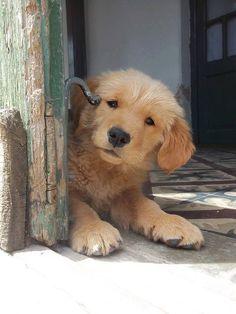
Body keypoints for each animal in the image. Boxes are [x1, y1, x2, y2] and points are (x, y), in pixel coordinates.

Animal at [68, 68, 203, 255]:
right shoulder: (67, 189)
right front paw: (94, 229)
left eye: (150, 121)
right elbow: (79, 208)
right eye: (112, 103)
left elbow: (146, 204)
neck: (105, 167)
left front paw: (170, 222)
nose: (118, 136)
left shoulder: (125, 192)